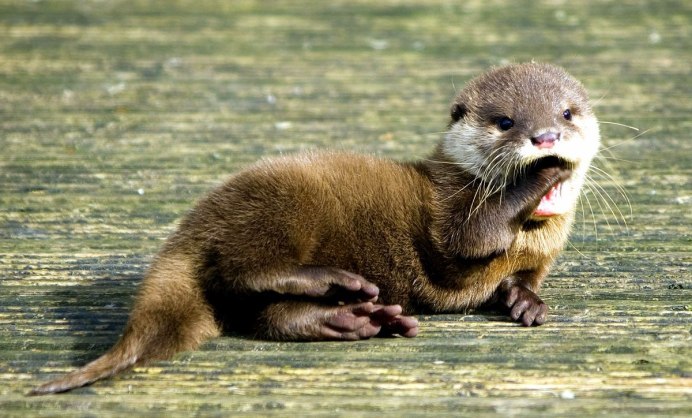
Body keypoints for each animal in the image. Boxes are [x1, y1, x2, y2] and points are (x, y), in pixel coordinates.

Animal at [31, 62, 600, 395]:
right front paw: (542, 174)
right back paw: (338, 285)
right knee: (246, 269)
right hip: (282, 209)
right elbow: (477, 234)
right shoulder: (450, 211)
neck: (532, 239)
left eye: (567, 113)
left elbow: (524, 278)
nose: (545, 137)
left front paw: (525, 300)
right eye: (505, 122)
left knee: (266, 314)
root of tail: (195, 223)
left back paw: (356, 319)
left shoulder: (539, 257)